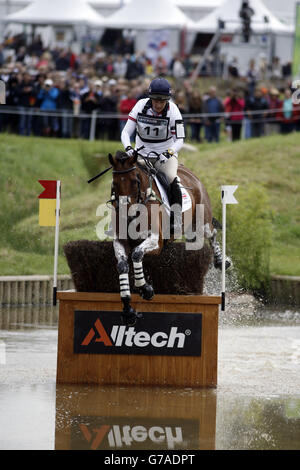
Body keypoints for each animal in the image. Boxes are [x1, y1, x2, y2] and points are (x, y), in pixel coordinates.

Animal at [106, 149, 226, 324]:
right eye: (114, 184)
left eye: (135, 181)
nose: (127, 215)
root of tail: (189, 173)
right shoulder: (120, 242)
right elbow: (122, 265)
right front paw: (128, 310)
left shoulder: (156, 242)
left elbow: (136, 254)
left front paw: (145, 289)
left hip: (201, 223)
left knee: (213, 232)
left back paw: (221, 261)